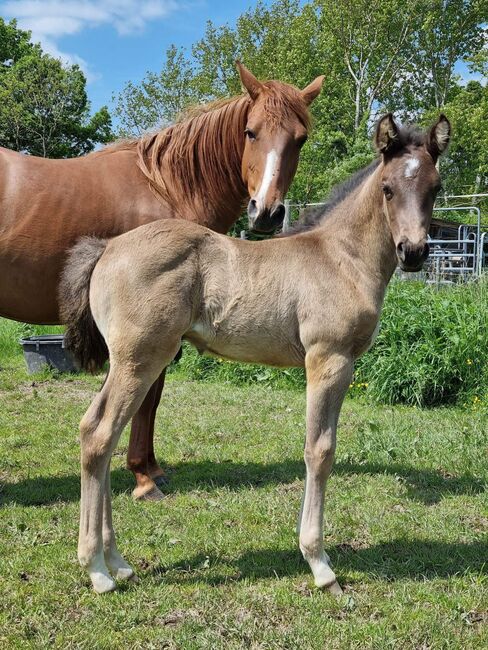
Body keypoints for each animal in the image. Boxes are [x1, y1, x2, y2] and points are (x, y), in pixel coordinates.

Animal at [59, 112, 452, 592]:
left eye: (435, 187)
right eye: (388, 188)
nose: (413, 252)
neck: (341, 257)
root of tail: (108, 248)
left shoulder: (340, 364)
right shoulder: (328, 360)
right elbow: (319, 451)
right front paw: (319, 563)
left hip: (128, 364)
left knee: (96, 431)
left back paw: (117, 561)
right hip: (140, 361)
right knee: (100, 437)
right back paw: (97, 569)